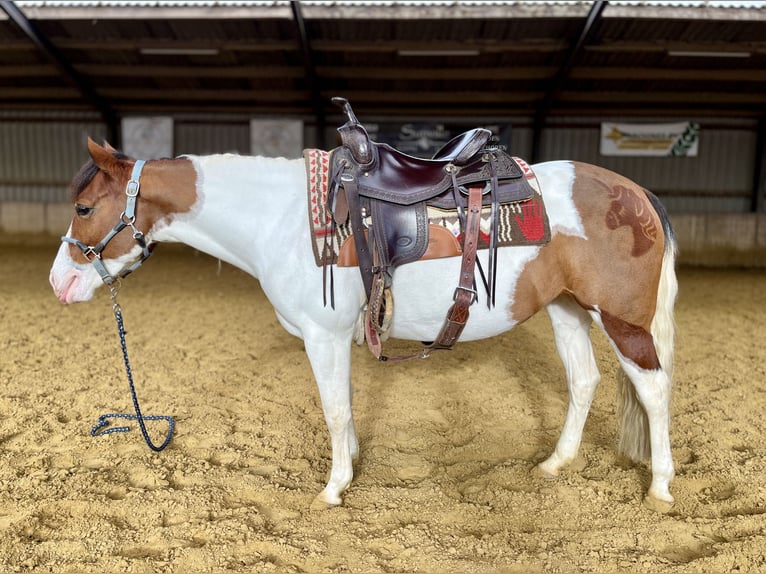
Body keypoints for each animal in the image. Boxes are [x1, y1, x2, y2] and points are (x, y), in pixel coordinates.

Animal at [49, 137, 678, 511]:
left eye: (84, 208)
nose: (59, 283)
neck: (278, 218)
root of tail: (637, 193)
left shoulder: (323, 335)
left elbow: (334, 409)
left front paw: (332, 489)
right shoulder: (336, 339)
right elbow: (345, 407)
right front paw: (349, 467)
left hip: (623, 321)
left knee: (653, 389)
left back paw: (660, 488)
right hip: (567, 308)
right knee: (583, 381)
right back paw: (554, 464)